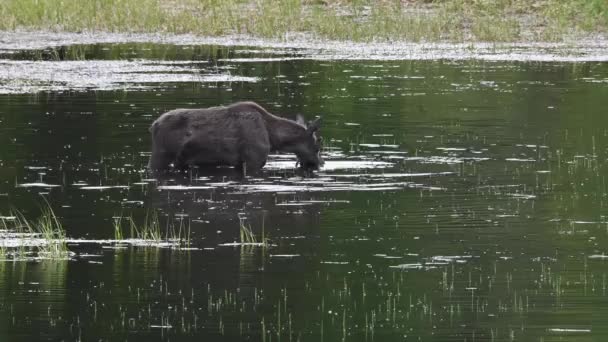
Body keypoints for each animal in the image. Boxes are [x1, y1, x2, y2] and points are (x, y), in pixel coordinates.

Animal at [148, 101, 324, 175]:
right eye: (317, 146)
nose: (320, 164)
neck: (274, 139)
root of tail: (153, 125)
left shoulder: (240, 162)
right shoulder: (254, 159)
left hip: (180, 160)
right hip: (161, 155)